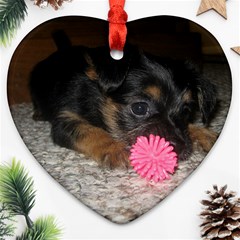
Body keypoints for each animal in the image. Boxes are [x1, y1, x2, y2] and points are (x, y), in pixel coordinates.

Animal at [29, 33, 218, 169]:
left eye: (186, 111)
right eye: (140, 108)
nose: (180, 148)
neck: (93, 96)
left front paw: (202, 133)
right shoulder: (66, 121)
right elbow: (91, 131)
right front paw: (115, 148)